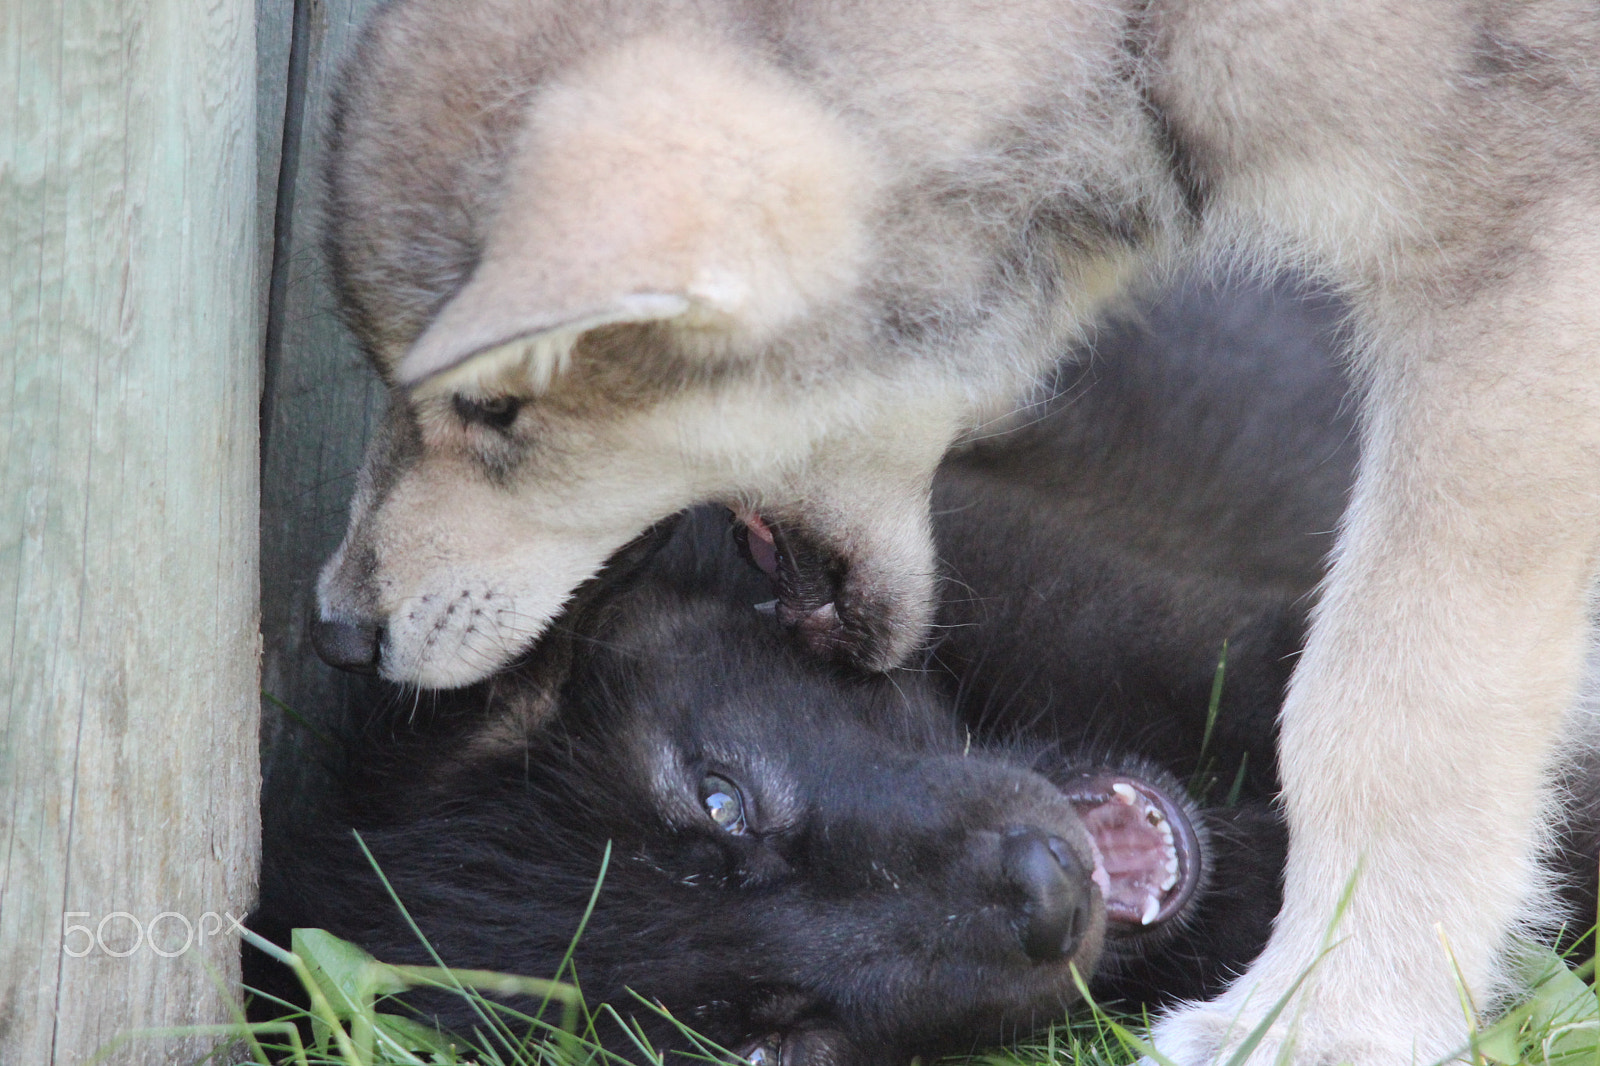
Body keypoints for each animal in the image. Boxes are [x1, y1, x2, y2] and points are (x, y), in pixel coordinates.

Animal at [309, 4, 1600, 1061]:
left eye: (492, 408)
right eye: (773, 1044)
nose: (336, 632)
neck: (1129, 40)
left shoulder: (1512, 285)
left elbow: (1388, 706)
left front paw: (1329, 1016)